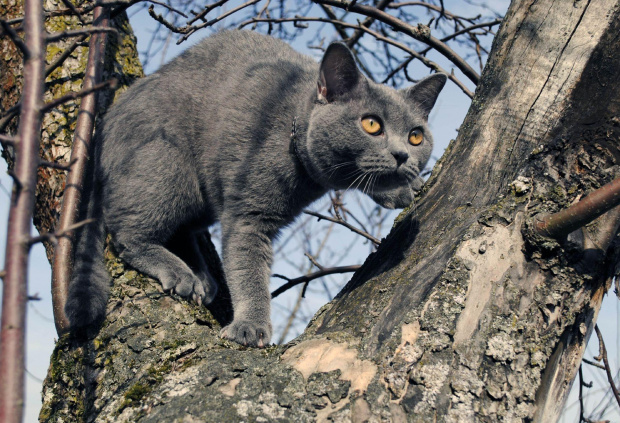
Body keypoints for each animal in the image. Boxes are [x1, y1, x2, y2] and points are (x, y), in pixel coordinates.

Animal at [65, 29, 446, 348]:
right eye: (371, 125)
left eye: (416, 136)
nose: (401, 155)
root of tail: (103, 128)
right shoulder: (249, 212)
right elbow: (247, 269)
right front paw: (251, 327)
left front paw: (401, 188)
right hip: (167, 168)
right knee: (128, 235)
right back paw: (180, 272)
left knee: (184, 229)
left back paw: (203, 277)